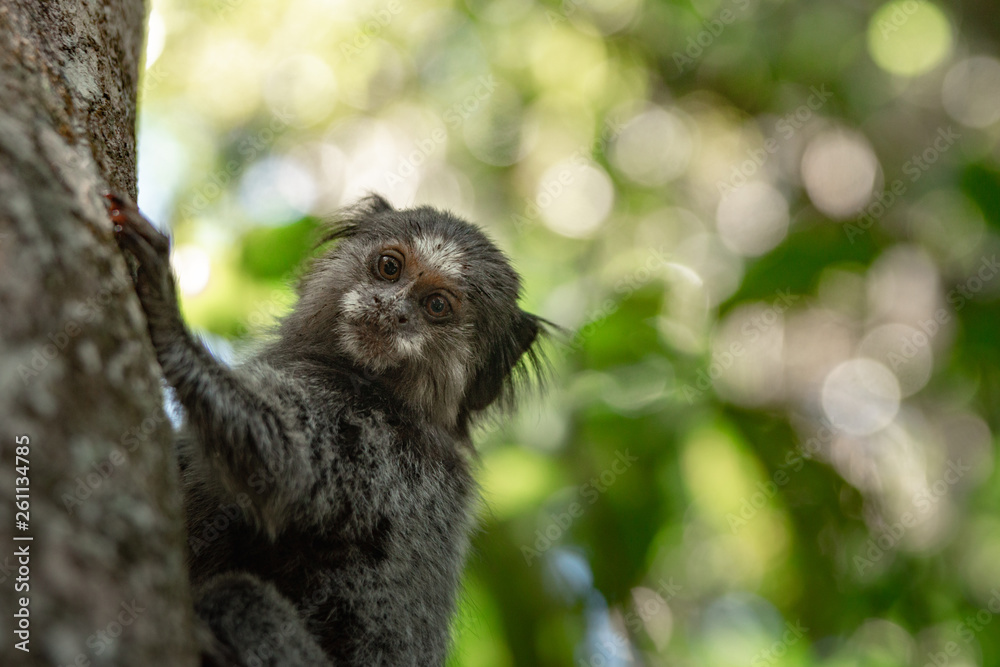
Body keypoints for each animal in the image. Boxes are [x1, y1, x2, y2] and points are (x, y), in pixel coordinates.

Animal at [104, 193, 546, 666]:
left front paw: (166, 315)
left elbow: (283, 467)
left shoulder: (377, 443)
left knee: (238, 598)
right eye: (389, 267)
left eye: (436, 306)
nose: (392, 309)